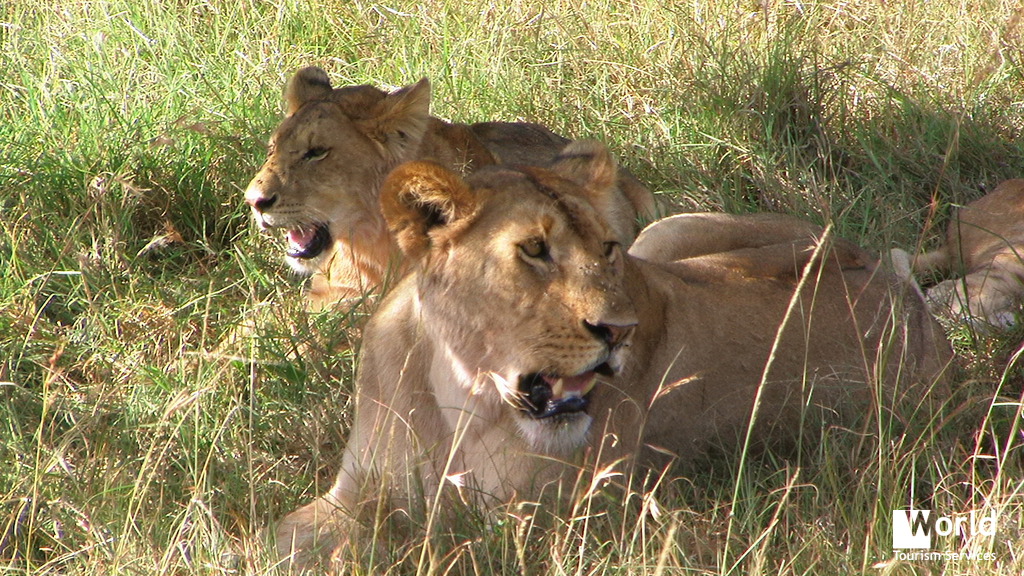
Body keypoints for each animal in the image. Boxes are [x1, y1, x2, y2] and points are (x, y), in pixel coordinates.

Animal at [274, 141, 951, 567]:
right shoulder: (353, 492)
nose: (620, 331)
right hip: (673, 234)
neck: (460, 389)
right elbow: (280, 535)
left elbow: (408, 547)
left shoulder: (537, 528)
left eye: (605, 248)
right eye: (534, 249)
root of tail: (896, 280)